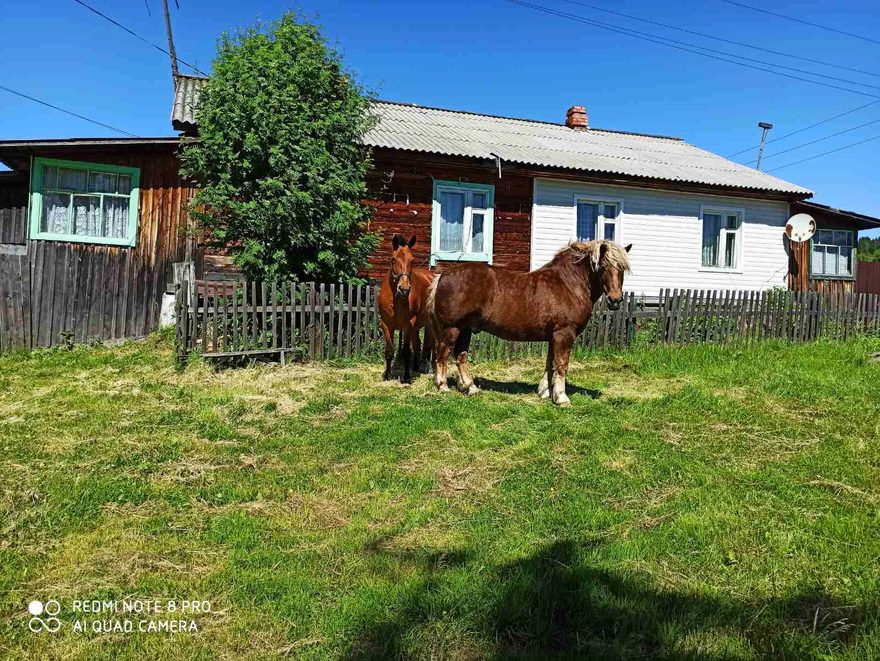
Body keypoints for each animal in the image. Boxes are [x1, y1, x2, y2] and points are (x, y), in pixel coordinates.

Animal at [378, 235, 434, 384]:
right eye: (393, 259)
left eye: (412, 260)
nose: (404, 289)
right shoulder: (386, 325)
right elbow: (389, 351)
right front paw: (387, 375)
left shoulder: (407, 326)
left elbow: (406, 352)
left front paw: (407, 377)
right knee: (418, 344)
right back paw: (415, 367)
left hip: (429, 326)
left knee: (431, 346)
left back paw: (429, 368)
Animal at [428, 242, 628, 404]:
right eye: (602, 266)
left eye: (623, 269)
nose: (616, 300)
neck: (569, 285)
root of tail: (443, 275)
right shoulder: (564, 334)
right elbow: (562, 365)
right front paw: (561, 397)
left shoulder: (553, 337)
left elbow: (550, 364)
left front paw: (545, 392)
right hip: (451, 328)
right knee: (443, 355)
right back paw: (443, 386)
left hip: (466, 329)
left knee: (461, 356)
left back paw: (471, 388)